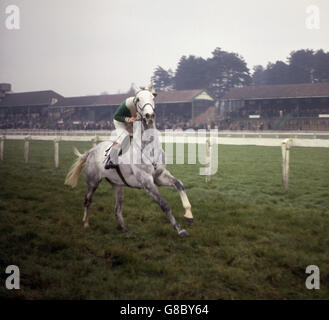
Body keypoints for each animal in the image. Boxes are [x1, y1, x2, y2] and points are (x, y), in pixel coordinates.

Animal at [64, 85, 192, 238]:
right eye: (138, 99)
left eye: (153, 97)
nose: (149, 116)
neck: (149, 148)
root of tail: (92, 150)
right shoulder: (146, 181)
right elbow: (164, 205)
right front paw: (180, 230)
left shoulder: (159, 176)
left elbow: (179, 184)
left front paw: (188, 215)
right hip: (92, 181)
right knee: (87, 201)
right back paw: (86, 223)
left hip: (118, 185)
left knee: (117, 209)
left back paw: (126, 230)